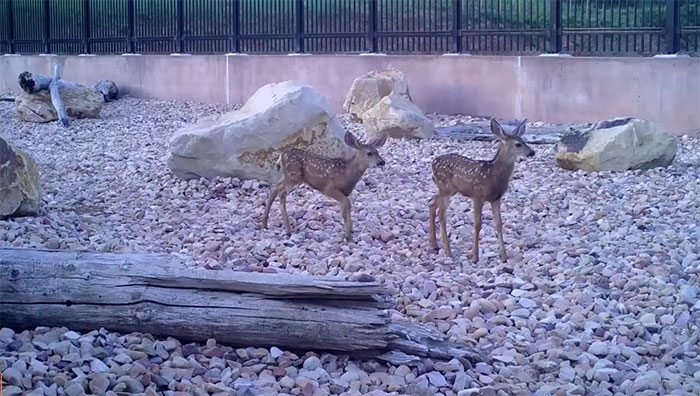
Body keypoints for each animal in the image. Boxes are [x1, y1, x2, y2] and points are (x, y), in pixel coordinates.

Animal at [426, 119, 536, 264]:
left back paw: (434, 244)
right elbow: (478, 224)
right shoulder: (477, 195)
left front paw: (504, 256)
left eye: (525, 141)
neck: (493, 175)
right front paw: (475, 256)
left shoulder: (496, 198)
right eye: (518, 144)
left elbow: (499, 224)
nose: (532, 152)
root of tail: (433, 163)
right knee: (441, 214)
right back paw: (448, 251)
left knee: (431, 202)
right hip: (445, 188)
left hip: (448, 189)